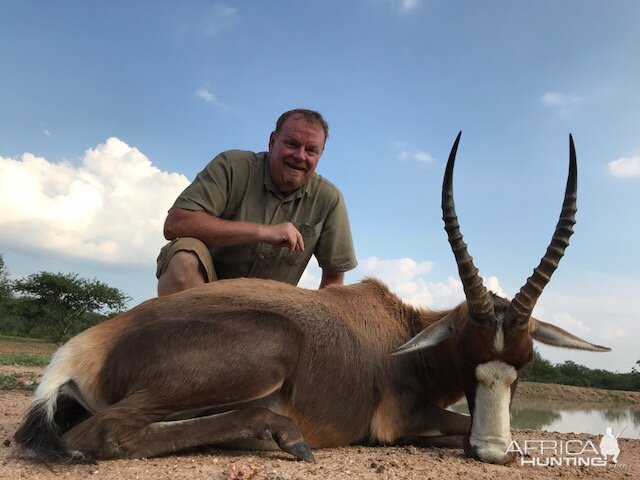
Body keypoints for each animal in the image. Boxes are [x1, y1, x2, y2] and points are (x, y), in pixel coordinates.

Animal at [12, 132, 608, 464]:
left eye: (525, 360)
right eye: (467, 352)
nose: (490, 451)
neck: (403, 326)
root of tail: (90, 345)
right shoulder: (397, 421)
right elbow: (460, 425)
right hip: (270, 347)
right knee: (106, 431)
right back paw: (285, 435)